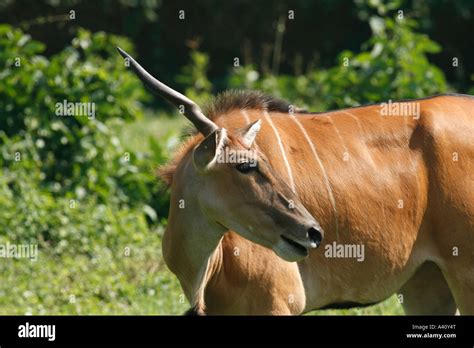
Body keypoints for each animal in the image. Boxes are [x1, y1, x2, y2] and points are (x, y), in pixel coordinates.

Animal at [117, 47, 474, 316]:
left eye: (265, 162)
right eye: (246, 165)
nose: (313, 232)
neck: (207, 271)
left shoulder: (275, 304)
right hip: (426, 283)